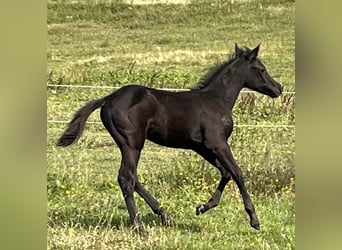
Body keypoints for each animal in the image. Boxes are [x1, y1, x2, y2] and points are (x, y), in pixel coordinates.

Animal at [57, 44, 284, 233]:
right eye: (261, 69)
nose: (278, 88)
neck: (217, 100)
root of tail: (108, 98)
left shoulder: (202, 147)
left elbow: (226, 173)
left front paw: (202, 207)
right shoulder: (218, 143)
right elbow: (238, 173)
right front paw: (254, 219)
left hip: (129, 144)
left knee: (133, 177)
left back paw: (165, 216)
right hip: (132, 143)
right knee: (126, 178)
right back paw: (140, 227)